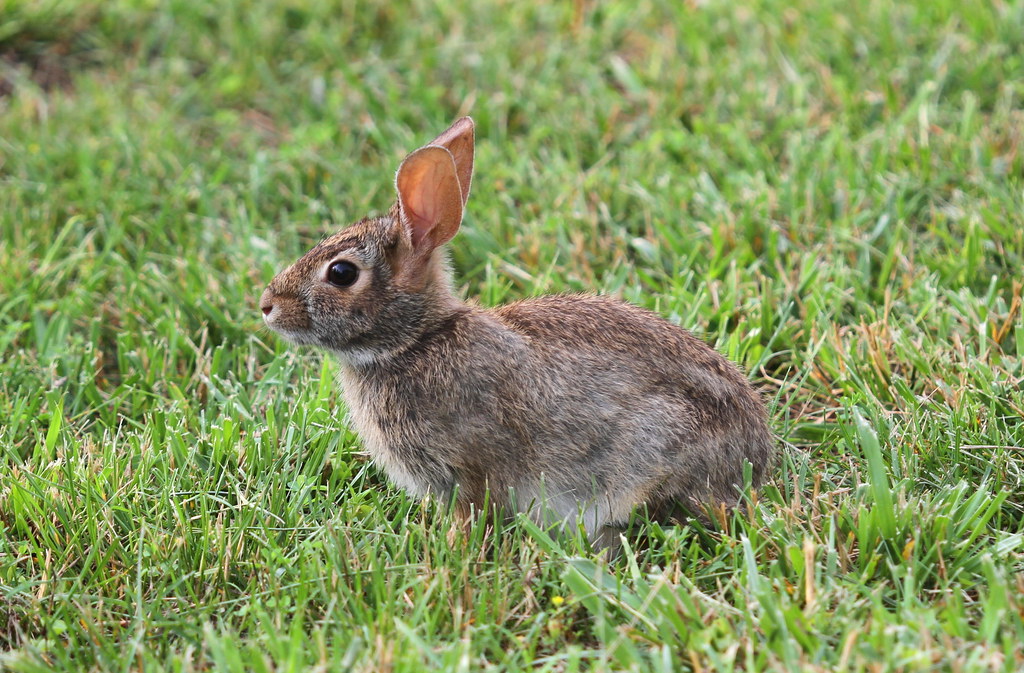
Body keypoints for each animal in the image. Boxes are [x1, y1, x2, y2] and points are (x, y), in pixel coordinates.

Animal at [260, 117, 774, 548]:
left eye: (341, 273)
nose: (267, 306)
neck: (416, 341)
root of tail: (752, 458)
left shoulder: (470, 467)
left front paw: (452, 550)